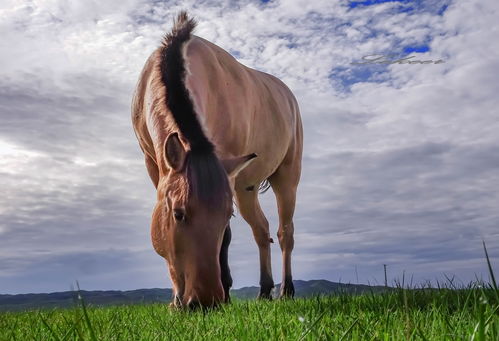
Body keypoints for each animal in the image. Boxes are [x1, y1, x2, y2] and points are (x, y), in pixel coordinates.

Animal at [131, 11, 302, 308]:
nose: (205, 300)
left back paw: (286, 290)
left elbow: (228, 238)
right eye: (178, 213)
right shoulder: (154, 165)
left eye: (225, 216)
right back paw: (264, 290)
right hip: (245, 188)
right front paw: (176, 299)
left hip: (287, 178)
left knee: (285, 233)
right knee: (261, 230)